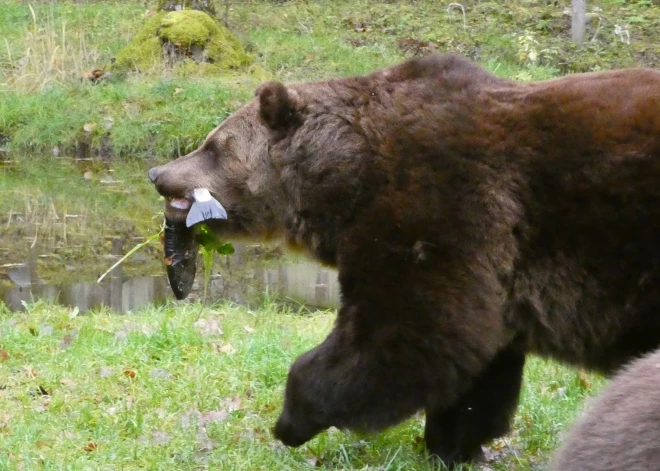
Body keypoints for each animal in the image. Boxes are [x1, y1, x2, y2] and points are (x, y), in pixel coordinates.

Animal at [148, 53, 660, 466]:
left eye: (214, 145)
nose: (157, 172)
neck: (344, 176)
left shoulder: (437, 207)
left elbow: (403, 334)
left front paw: (291, 418)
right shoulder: (493, 271)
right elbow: (476, 362)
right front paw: (453, 442)